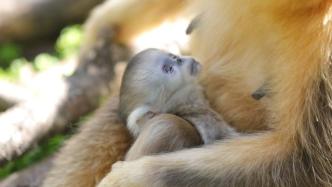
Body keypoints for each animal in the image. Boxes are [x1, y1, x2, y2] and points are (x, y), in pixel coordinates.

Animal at [43, 0, 332, 187]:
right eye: (170, 66)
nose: (183, 61)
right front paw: (102, 25)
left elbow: (304, 162)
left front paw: (127, 180)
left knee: (167, 126)